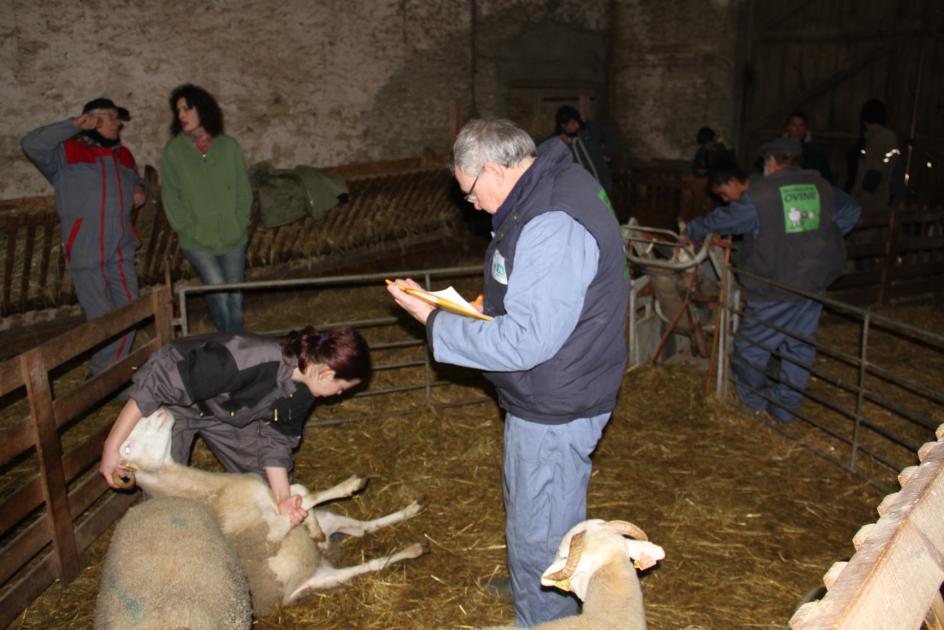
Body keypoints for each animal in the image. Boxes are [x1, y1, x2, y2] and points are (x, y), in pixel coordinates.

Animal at [116, 408, 426, 620]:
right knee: (371, 564)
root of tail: (319, 568)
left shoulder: (276, 498)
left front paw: (314, 530)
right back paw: (411, 548)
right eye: (129, 444)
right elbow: (305, 497)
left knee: (364, 528)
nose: (159, 410)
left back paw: (408, 513)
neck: (208, 491)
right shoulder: (271, 536)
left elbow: (300, 490)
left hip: (332, 524)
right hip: (323, 579)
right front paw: (344, 488)